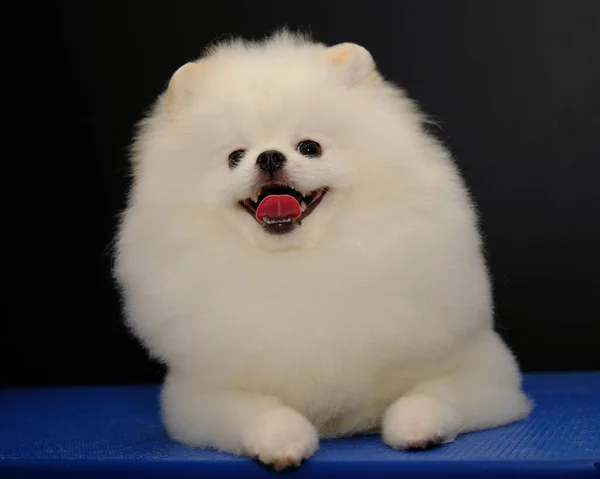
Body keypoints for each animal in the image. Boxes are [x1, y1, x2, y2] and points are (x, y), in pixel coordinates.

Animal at [115, 31, 532, 470]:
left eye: (309, 147)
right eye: (235, 157)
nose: (269, 157)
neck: (303, 263)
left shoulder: (486, 371)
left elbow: (432, 394)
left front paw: (417, 428)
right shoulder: (198, 396)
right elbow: (261, 412)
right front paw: (282, 443)